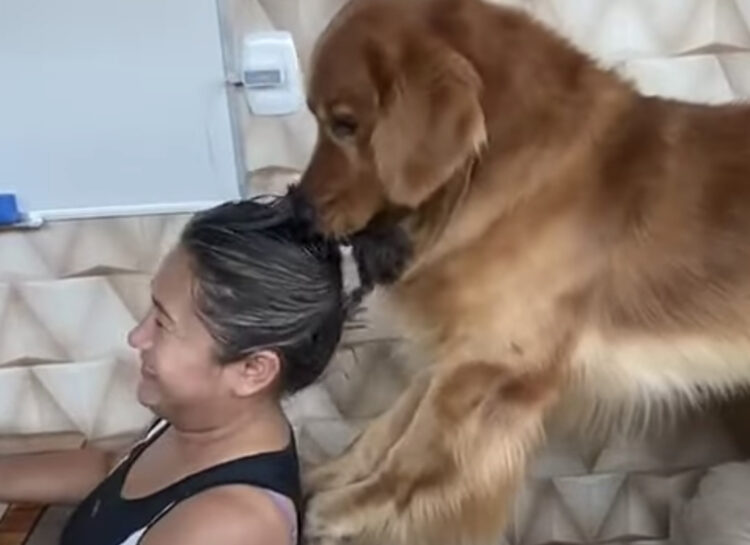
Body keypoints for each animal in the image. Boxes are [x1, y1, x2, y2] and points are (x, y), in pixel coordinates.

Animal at [292, 0, 750, 544]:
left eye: (344, 125)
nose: (295, 210)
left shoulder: (491, 364)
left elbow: (414, 451)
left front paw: (347, 510)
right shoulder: (462, 348)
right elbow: (386, 426)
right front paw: (330, 476)